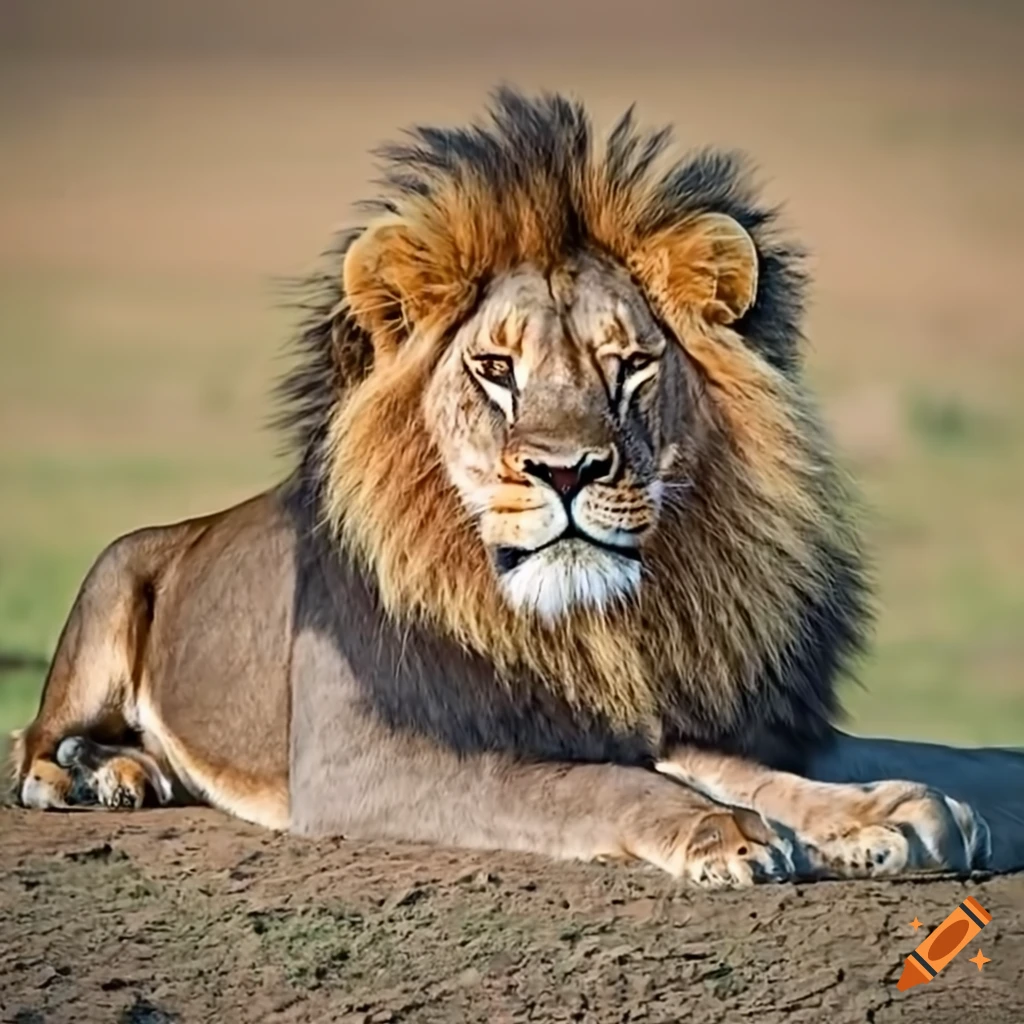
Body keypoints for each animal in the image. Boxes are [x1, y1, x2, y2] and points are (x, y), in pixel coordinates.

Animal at [10, 89, 1024, 887]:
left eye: (630, 367)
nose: (567, 471)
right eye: (496, 369)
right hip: (108, 591)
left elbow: (735, 767)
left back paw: (134, 772)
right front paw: (719, 832)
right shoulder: (367, 758)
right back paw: (84, 777)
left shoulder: (630, 714)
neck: (565, 626)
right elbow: (585, 784)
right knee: (31, 738)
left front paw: (882, 811)